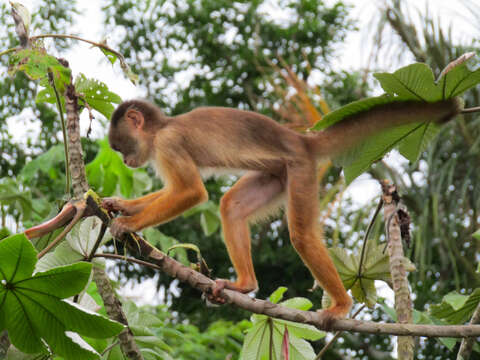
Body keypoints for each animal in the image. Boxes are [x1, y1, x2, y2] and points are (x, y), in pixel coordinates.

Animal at [102, 97, 462, 322]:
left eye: (120, 148)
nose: (126, 161)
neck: (163, 127)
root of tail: (301, 140)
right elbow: (177, 191)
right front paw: (118, 205)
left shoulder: (168, 143)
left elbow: (191, 192)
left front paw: (129, 225)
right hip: (278, 175)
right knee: (231, 206)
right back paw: (244, 284)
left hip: (301, 169)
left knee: (301, 235)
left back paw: (341, 305)